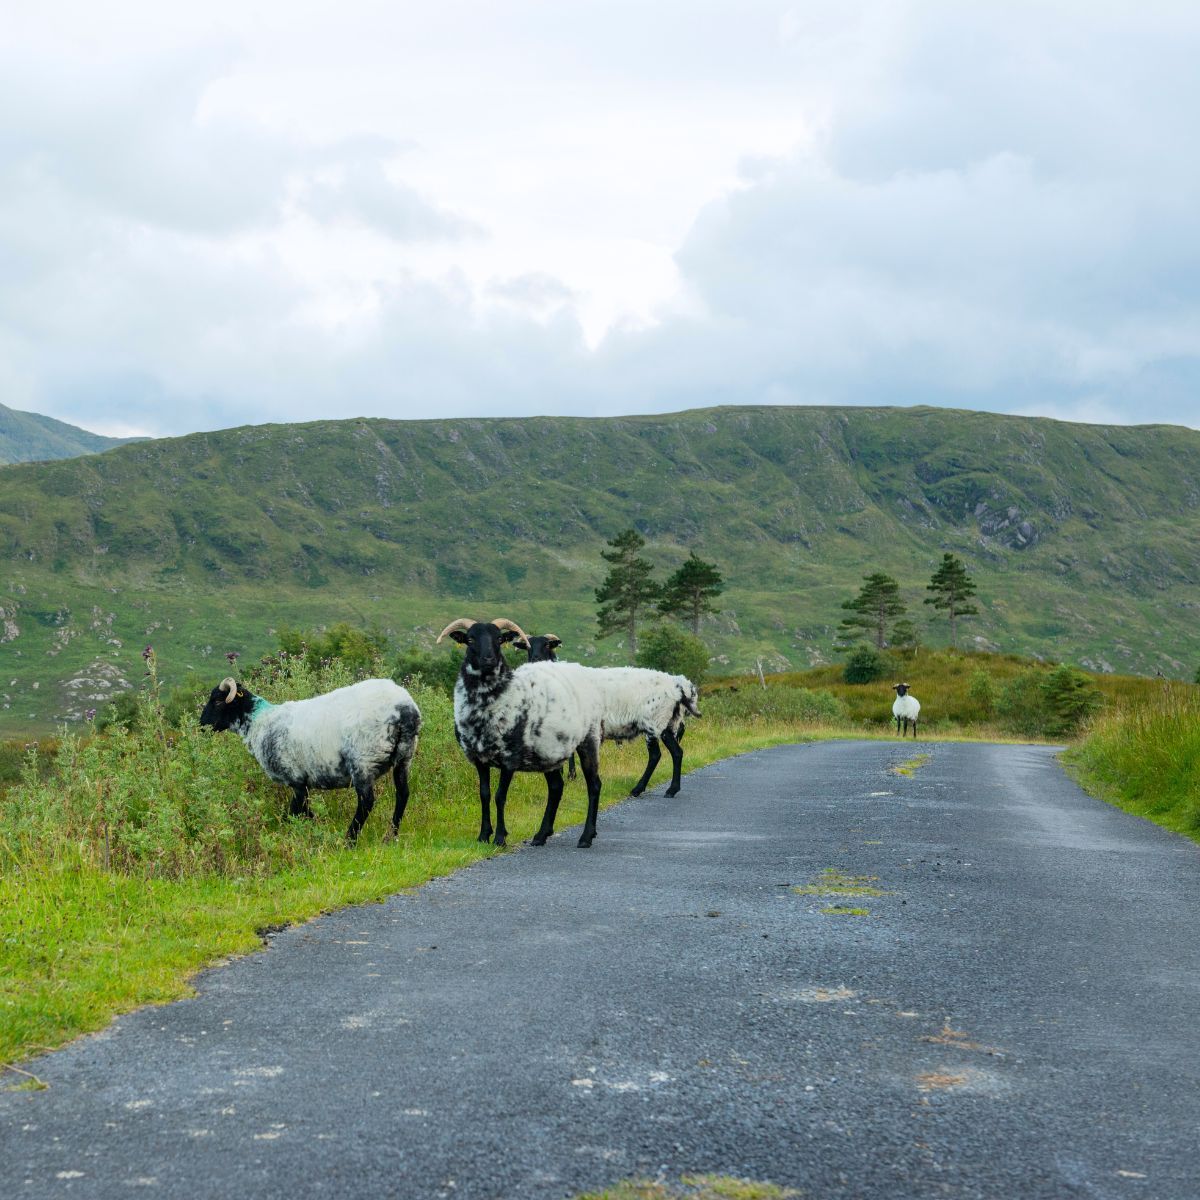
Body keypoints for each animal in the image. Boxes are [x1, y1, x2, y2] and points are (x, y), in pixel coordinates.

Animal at [198, 676, 422, 844]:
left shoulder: (296, 778)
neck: (259, 723)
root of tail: (404, 709)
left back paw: (349, 840)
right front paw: (318, 826)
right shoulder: (303, 781)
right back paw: (391, 837)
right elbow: (304, 811)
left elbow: (295, 811)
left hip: (363, 760)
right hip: (404, 757)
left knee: (366, 802)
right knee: (403, 794)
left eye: (217, 701)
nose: (201, 726)